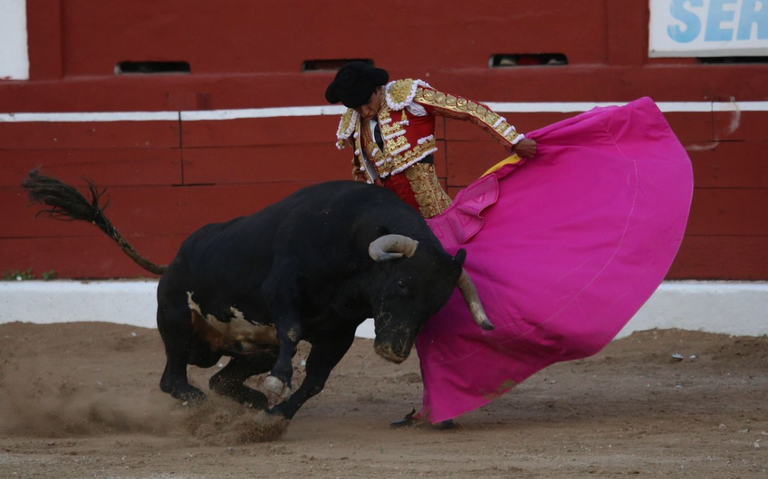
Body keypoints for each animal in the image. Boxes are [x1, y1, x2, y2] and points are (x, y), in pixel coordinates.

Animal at [23, 171, 492, 421]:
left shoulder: (339, 331)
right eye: (401, 285)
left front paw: (277, 414)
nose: (394, 351)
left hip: (243, 347)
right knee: (173, 377)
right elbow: (292, 332)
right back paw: (201, 403)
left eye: (433, 306)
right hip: (174, 318)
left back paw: (246, 403)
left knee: (219, 377)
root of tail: (173, 260)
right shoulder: (282, 291)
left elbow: (316, 378)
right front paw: (278, 384)